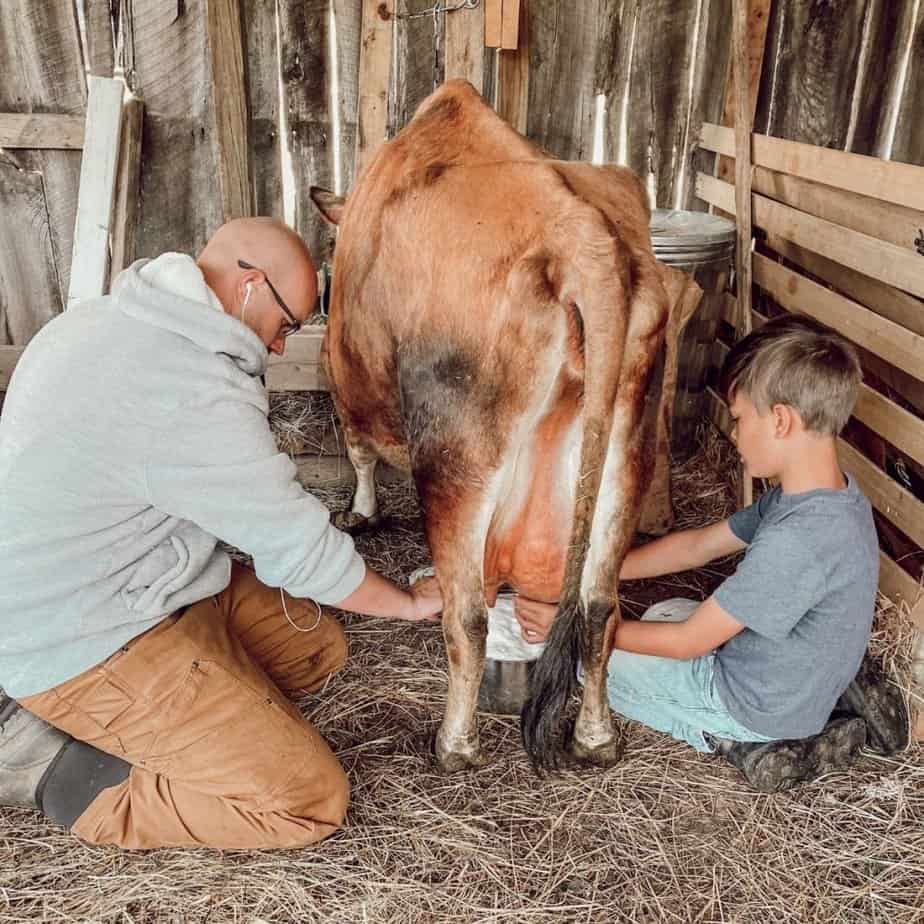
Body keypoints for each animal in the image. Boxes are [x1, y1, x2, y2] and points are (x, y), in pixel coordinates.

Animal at [310, 80, 670, 773]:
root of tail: (581, 237)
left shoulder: (345, 374)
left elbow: (359, 450)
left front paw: (360, 513)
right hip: (629, 444)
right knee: (599, 606)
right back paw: (595, 737)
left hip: (457, 460)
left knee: (469, 618)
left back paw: (454, 744)